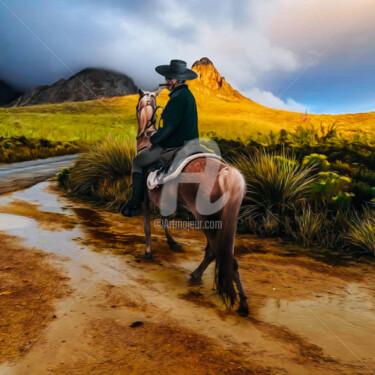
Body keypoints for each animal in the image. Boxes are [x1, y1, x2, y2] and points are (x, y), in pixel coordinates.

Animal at [134, 88, 248, 314]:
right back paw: (239, 299)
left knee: (215, 251)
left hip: (205, 218)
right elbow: (164, 221)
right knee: (225, 255)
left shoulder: (144, 198)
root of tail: (225, 171)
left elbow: (148, 226)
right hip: (224, 221)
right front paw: (172, 243)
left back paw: (200, 278)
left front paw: (148, 252)